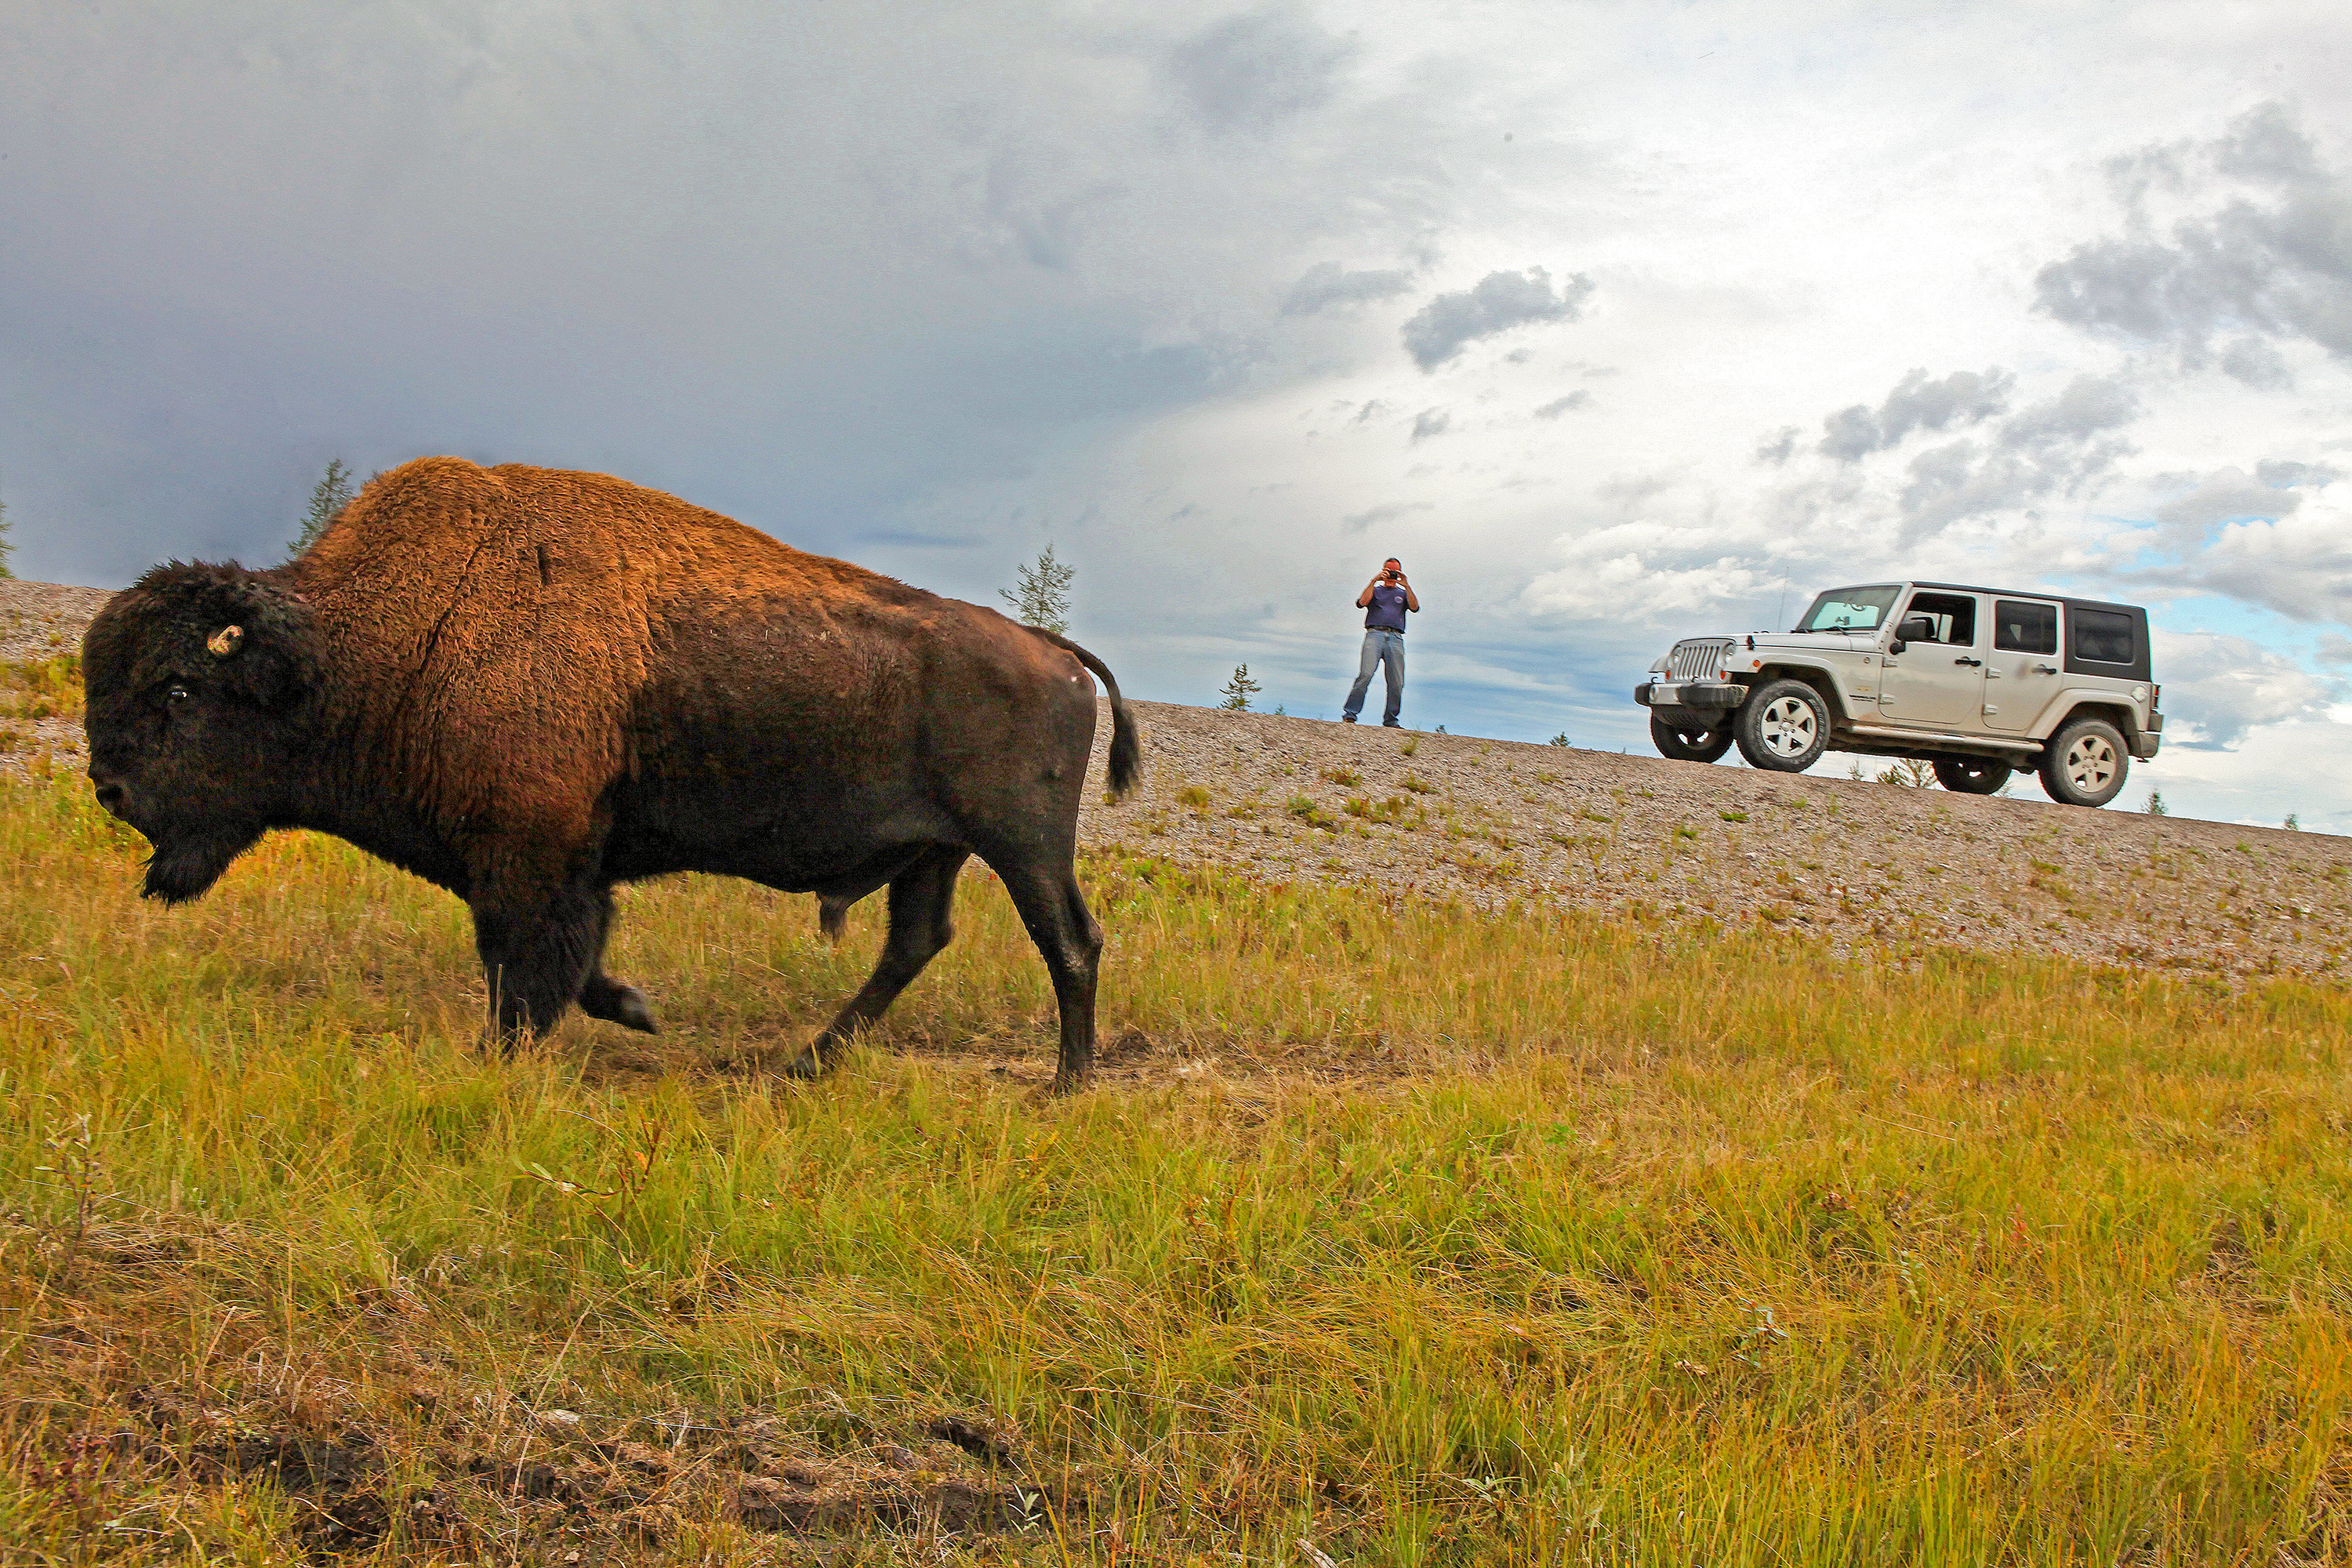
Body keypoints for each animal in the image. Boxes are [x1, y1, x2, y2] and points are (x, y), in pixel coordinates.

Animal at [89, 453, 1148, 1091]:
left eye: (178, 690)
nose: (111, 789)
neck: (376, 636)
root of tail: (1051, 649)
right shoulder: (557, 862)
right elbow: (572, 957)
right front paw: (634, 1010)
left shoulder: (527, 856)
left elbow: (525, 965)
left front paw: (503, 1056)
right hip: (936, 849)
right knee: (915, 943)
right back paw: (807, 1061)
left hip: (1021, 843)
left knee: (1070, 941)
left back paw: (1067, 1081)